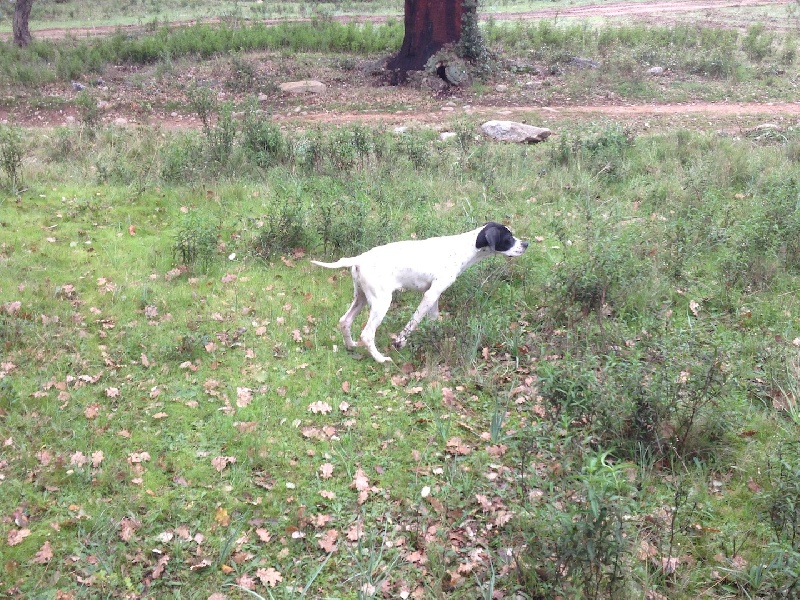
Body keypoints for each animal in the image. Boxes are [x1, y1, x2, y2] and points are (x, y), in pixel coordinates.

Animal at [311, 222, 529, 363]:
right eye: (508, 238)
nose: (526, 244)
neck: (463, 248)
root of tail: (359, 258)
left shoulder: (435, 295)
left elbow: (432, 320)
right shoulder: (430, 295)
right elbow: (413, 322)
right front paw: (400, 341)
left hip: (361, 298)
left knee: (344, 321)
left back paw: (350, 346)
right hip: (381, 302)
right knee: (367, 334)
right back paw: (381, 359)